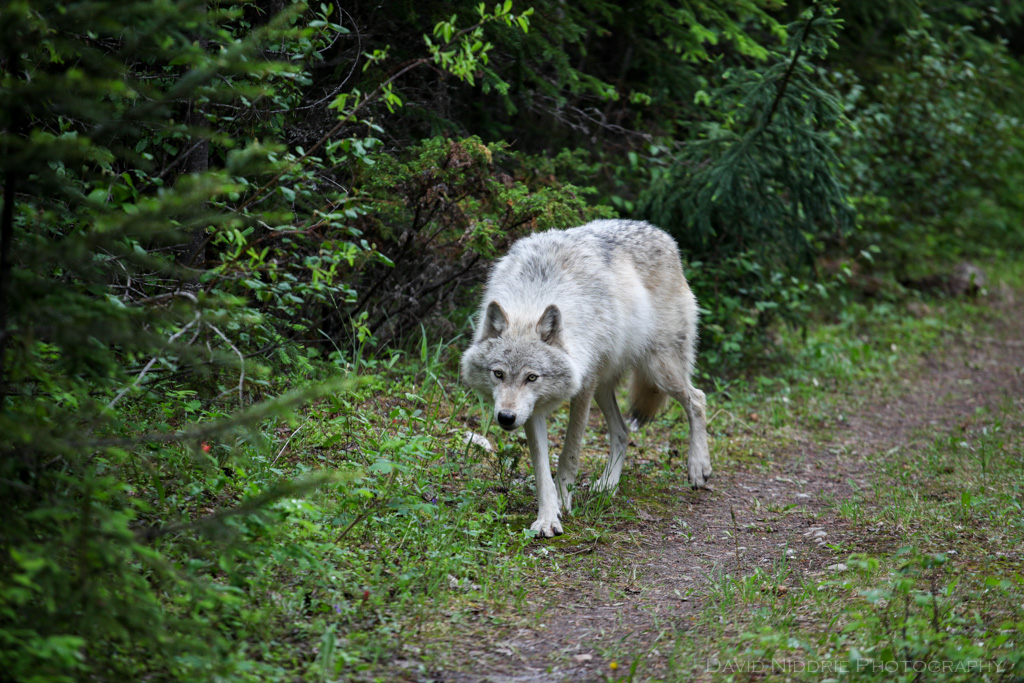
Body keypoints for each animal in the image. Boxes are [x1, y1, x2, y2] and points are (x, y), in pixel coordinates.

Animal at [461, 219, 711, 537]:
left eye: (532, 377)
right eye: (498, 374)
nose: (505, 417)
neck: (534, 295)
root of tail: (663, 235)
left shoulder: (583, 386)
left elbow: (569, 454)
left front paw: (563, 500)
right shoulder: (533, 410)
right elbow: (541, 468)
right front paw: (547, 516)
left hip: (658, 370)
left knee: (697, 399)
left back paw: (698, 468)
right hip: (606, 388)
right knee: (623, 432)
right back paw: (607, 486)